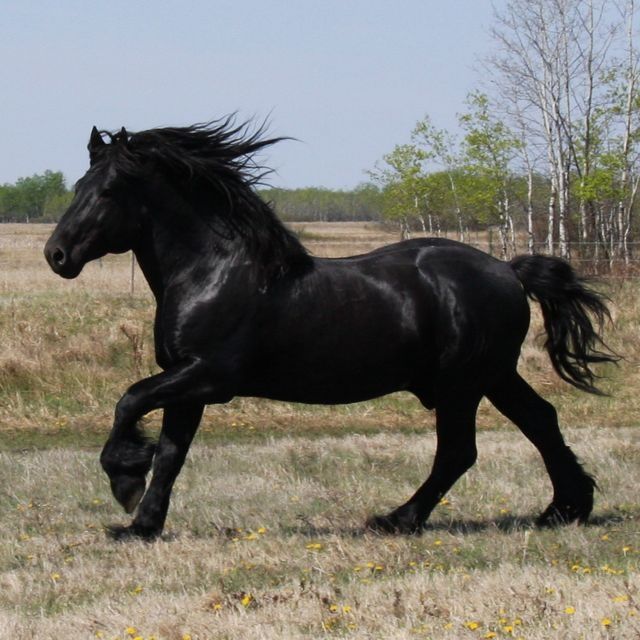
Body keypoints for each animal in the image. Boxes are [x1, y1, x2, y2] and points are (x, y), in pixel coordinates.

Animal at [43, 119, 616, 540]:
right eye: (78, 186)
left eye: (109, 190)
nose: (57, 255)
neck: (214, 272)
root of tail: (509, 270)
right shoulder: (187, 383)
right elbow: (170, 454)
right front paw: (141, 524)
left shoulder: (208, 376)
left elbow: (130, 401)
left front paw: (124, 478)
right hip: (493, 376)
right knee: (541, 420)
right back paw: (564, 510)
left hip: (462, 384)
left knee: (459, 451)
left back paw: (396, 519)